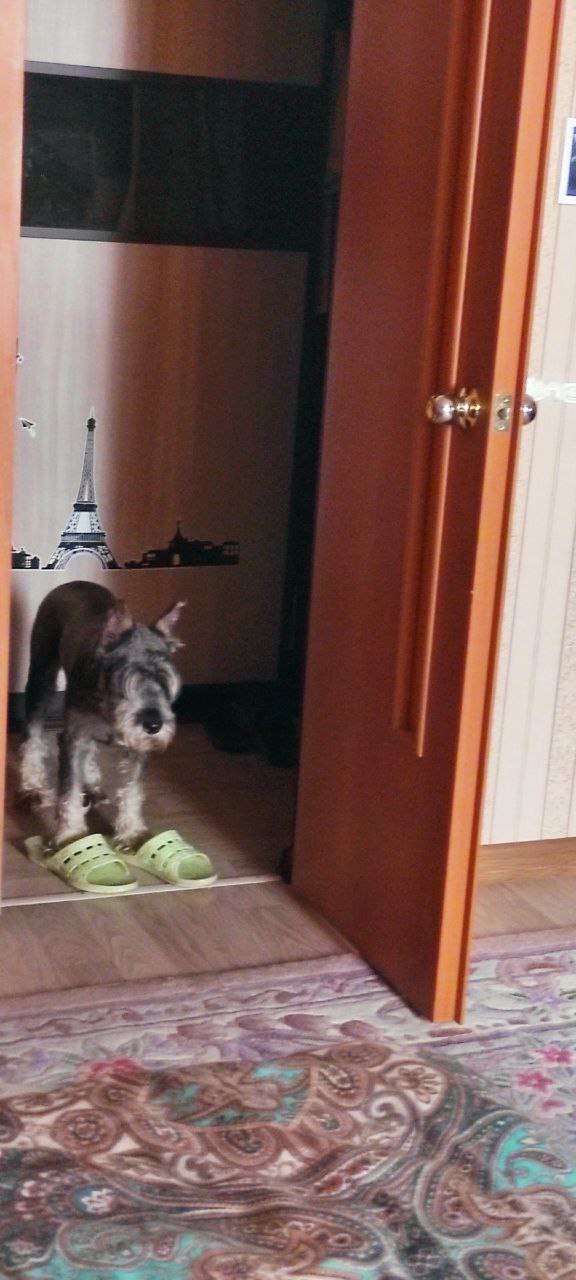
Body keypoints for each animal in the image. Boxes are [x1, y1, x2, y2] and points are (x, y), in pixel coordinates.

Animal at [20, 581, 185, 849]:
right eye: (126, 680)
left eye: (165, 681)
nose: (153, 725)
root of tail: (72, 584)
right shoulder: (74, 737)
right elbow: (69, 790)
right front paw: (71, 835)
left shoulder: (138, 748)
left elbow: (133, 790)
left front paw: (132, 833)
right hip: (41, 678)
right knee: (32, 735)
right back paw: (32, 788)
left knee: (90, 750)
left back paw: (92, 785)